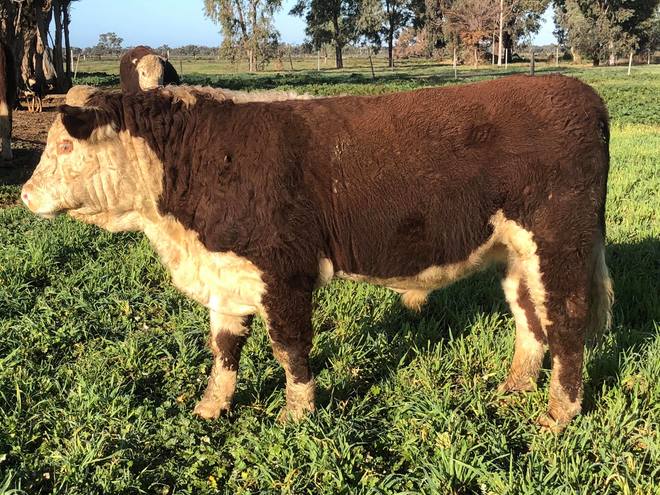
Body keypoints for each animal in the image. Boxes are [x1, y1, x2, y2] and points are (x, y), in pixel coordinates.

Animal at [21, 75, 613, 432]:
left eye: (66, 145)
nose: (24, 195)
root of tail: (576, 90)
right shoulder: (227, 272)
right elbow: (224, 348)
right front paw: (212, 407)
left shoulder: (283, 269)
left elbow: (288, 346)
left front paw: (295, 415)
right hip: (518, 254)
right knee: (530, 317)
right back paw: (514, 388)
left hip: (560, 244)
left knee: (567, 323)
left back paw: (558, 415)